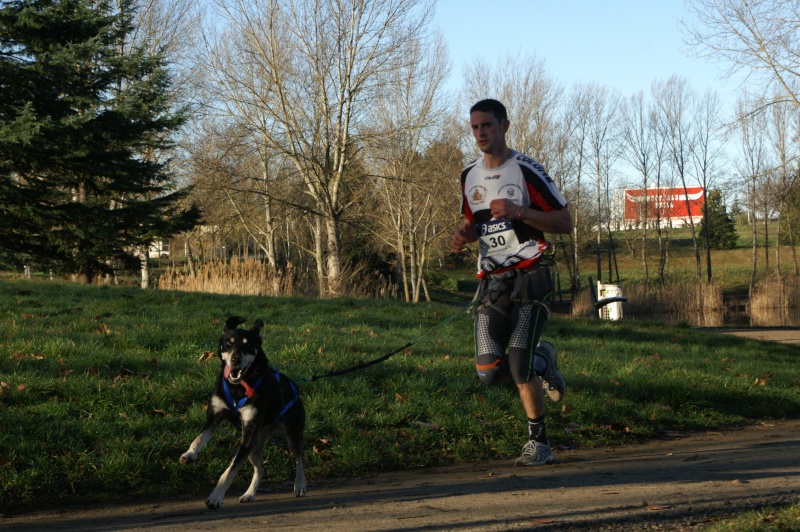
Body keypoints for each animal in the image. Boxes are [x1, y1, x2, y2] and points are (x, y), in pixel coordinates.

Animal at [180, 316, 306, 508]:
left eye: (248, 345)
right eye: (228, 343)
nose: (235, 360)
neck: (238, 386)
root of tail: (295, 388)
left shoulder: (248, 433)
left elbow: (230, 470)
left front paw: (216, 497)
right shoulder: (214, 417)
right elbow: (199, 438)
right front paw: (189, 454)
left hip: (290, 434)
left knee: (299, 456)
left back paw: (299, 484)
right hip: (253, 445)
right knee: (261, 468)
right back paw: (250, 493)